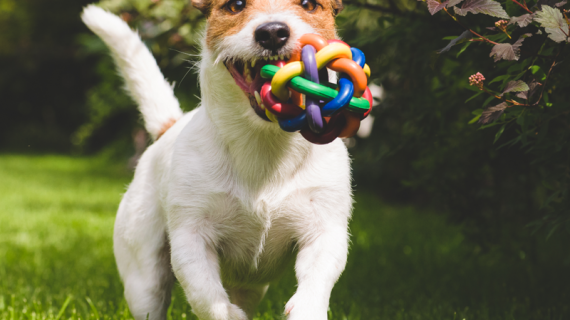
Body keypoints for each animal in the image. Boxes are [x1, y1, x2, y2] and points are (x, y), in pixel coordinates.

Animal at [81, 0, 350, 318]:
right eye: (235, 6)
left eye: (309, 5)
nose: (272, 32)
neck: (263, 144)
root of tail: (169, 127)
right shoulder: (191, 236)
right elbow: (205, 293)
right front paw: (227, 313)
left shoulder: (324, 229)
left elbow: (316, 281)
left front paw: (306, 308)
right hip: (144, 279)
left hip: (252, 286)